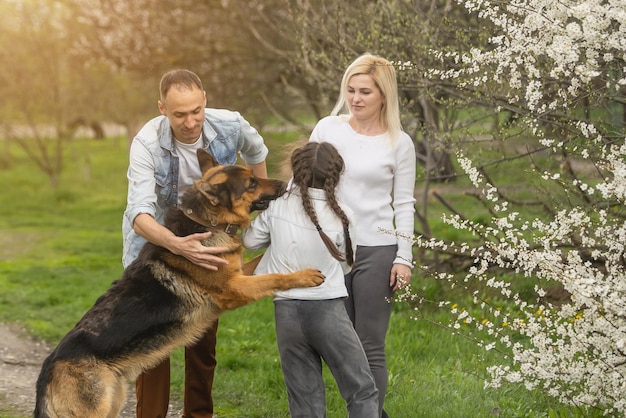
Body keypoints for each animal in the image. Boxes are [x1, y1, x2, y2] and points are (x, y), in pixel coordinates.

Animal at [34, 150, 324, 418]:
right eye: (251, 183)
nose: (284, 183)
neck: (208, 222)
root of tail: (48, 366)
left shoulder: (239, 274)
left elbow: (263, 260)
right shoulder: (234, 289)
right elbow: (273, 277)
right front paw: (304, 275)